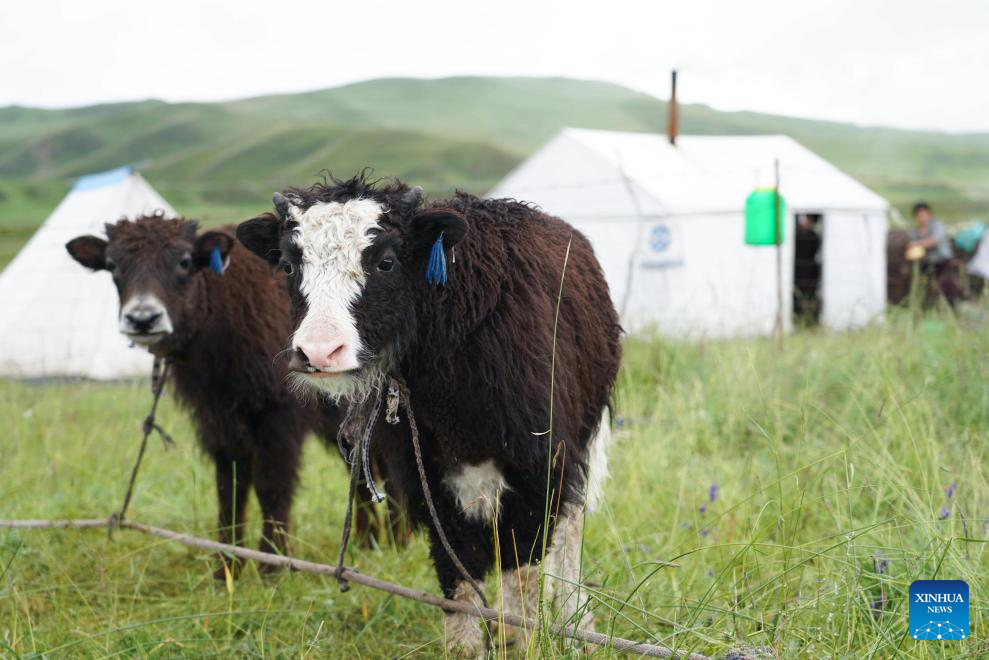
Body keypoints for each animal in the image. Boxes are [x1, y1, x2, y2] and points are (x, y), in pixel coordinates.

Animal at [66, 215, 406, 576]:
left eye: (184, 262)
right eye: (113, 265)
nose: (143, 319)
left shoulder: (279, 415)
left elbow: (271, 485)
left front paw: (272, 565)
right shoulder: (218, 419)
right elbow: (229, 487)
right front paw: (226, 567)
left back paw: (398, 543)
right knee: (362, 471)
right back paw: (369, 544)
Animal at [239, 175, 620, 656]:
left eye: (385, 262)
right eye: (290, 266)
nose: (320, 352)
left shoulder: (540, 467)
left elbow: (525, 569)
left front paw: (526, 640)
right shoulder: (429, 480)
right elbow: (457, 574)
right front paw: (474, 646)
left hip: (582, 444)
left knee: (568, 531)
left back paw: (577, 624)